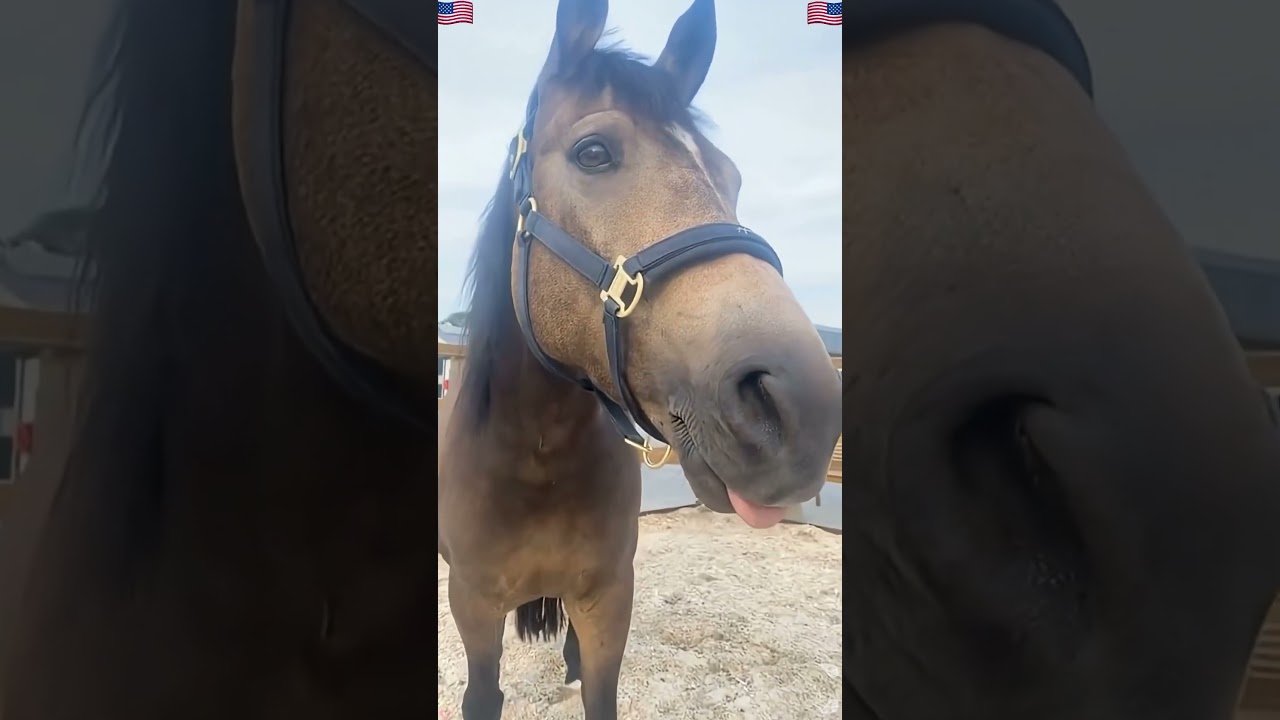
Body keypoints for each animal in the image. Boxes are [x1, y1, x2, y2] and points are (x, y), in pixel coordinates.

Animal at [438, 0, 842, 717]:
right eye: (593, 152)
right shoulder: (473, 607)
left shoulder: (608, 599)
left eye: (731, 176)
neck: (535, 459)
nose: (804, 408)